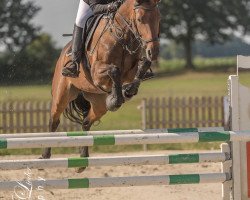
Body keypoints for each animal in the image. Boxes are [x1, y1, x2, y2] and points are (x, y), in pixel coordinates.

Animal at [42, 0, 161, 173]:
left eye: (158, 19)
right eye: (139, 20)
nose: (154, 52)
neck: (122, 36)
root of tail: (64, 53)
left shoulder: (130, 72)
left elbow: (143, 65)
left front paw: (128, 91)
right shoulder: (97, 72)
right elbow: (114, 70)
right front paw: (116, 99)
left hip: (98, 104)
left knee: (86, 122)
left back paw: (82, 160)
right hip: (62, 93)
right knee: (54, 120)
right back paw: (45, 155)